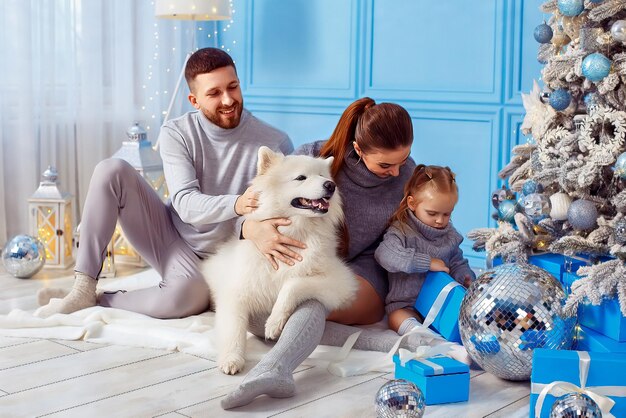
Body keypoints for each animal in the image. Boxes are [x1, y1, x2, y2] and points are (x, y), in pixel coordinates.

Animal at [201, 145, 356, 374]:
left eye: (323, 176)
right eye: (301, 177)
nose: (331, 186)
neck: (296, 231)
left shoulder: (342, 282)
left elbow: (292, 284)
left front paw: (274, 323)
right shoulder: (235, 292)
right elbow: (234, 328)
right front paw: (231, 358)